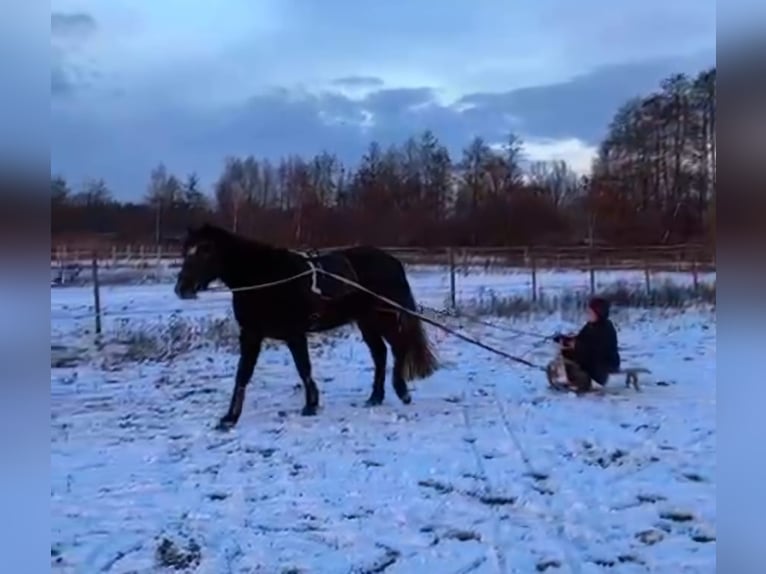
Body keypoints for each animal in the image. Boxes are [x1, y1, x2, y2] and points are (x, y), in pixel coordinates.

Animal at [173, 223, 440, 430]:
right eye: (187, 251)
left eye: (206, 250)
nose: (182, 288)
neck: (266, 278)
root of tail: (393, 262)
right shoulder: (251, 335)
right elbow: (243, 374)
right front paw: (230, 418)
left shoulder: (294, 334)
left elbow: (303, 368)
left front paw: (311, 405)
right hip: (366, 321)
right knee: (380, 354)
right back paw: (375, 397)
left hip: (384, 317)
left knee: (398, 348)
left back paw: (402, 392)